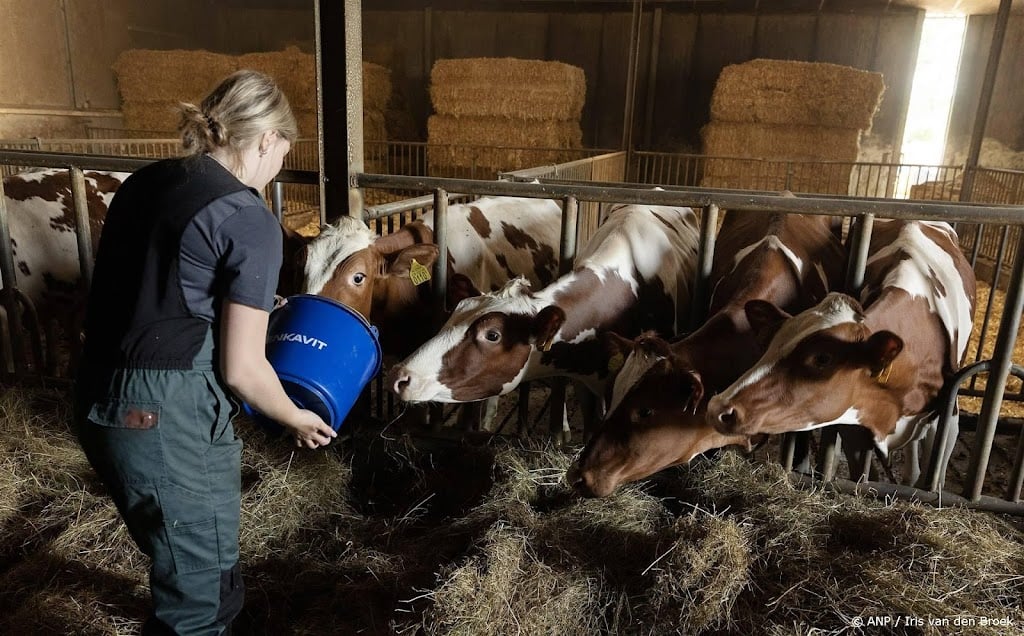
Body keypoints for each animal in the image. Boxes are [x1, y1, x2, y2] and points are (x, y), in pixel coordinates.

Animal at [704, 218, 974, 485]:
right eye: (771, 344)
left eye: (822, 359)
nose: (718, 407)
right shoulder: (854, 424)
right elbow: (863, 478)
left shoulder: (949, 421)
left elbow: (931, 480)